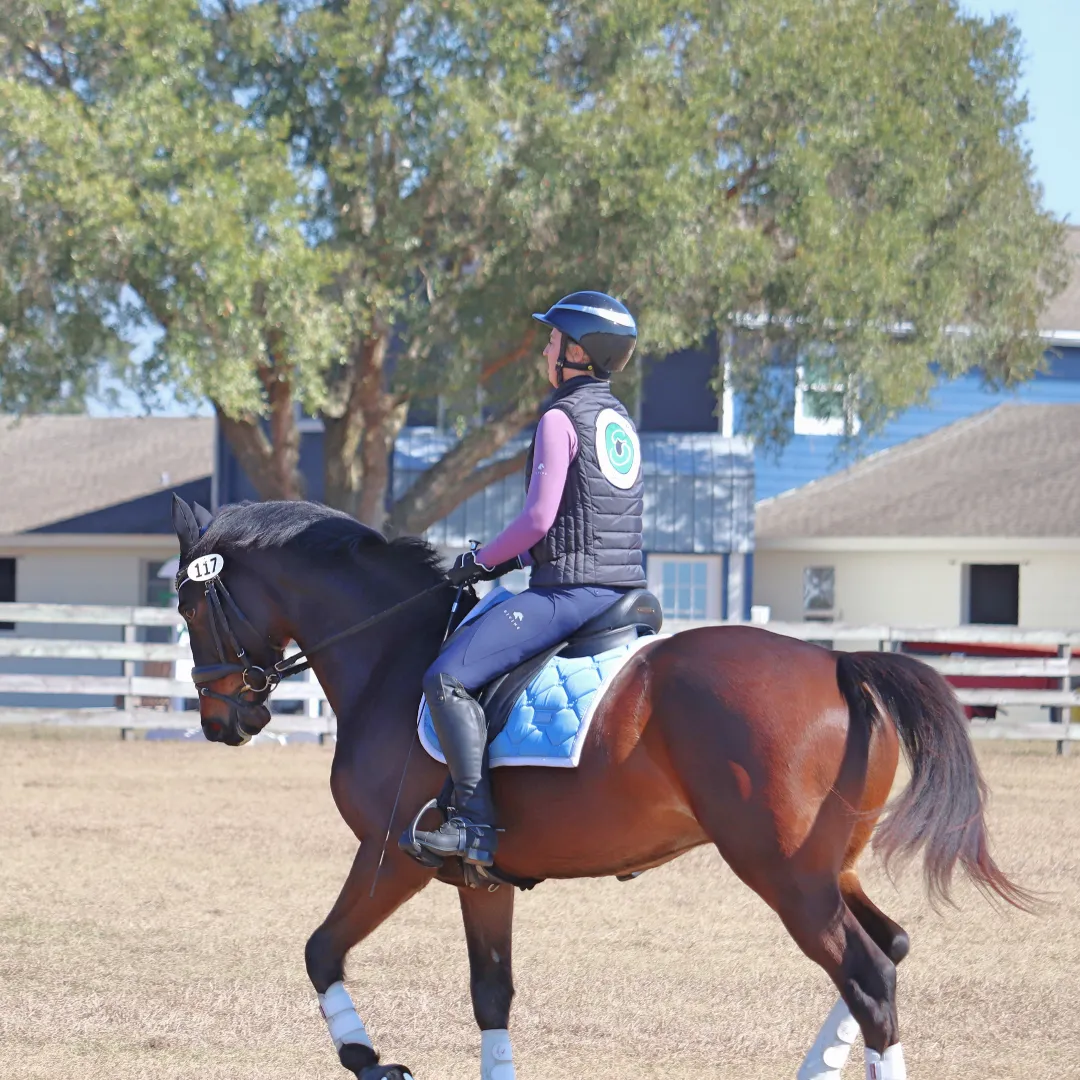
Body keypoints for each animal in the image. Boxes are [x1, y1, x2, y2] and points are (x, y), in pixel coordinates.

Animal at [170, 494, 1036, 1080]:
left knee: (870, 975)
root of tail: (837, 660)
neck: (391, 651)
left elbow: (321, 950)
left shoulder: (391, 855)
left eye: (185, 602)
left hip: (785, 874)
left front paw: (371, 1059)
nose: (223, 720)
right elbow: (492, 992)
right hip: (830, 867)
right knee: (891, 946)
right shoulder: (482, 878)